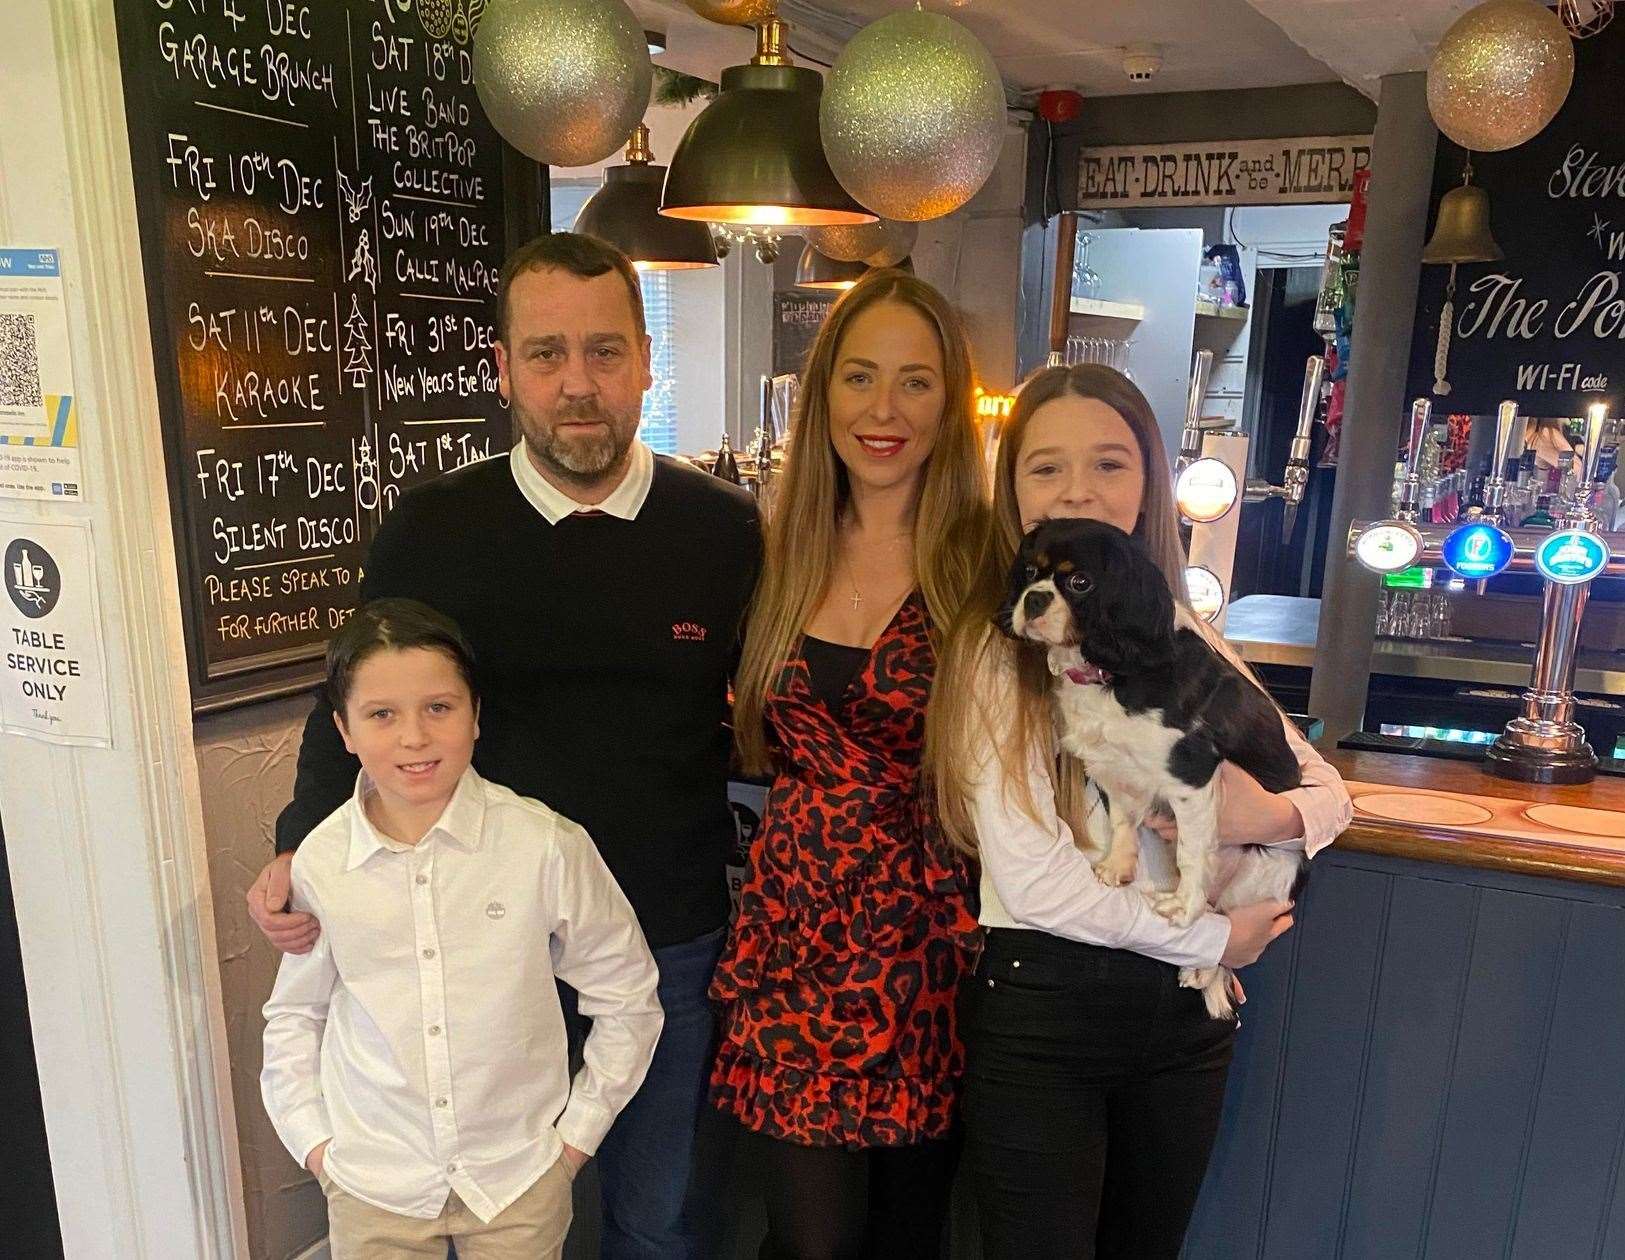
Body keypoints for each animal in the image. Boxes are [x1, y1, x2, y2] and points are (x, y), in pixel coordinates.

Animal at [988, 517, 1306, 1021]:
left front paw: (1182, 907)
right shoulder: (1115, 769)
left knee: (1228, 923)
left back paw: (1202, 966)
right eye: (1030, 573)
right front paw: (1117, 868)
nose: (1033, 599)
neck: (1109, 671)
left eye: (1080, 583)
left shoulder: (1191, 774)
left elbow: (1191, 854)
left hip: (1265, 876)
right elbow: (1122, 823)